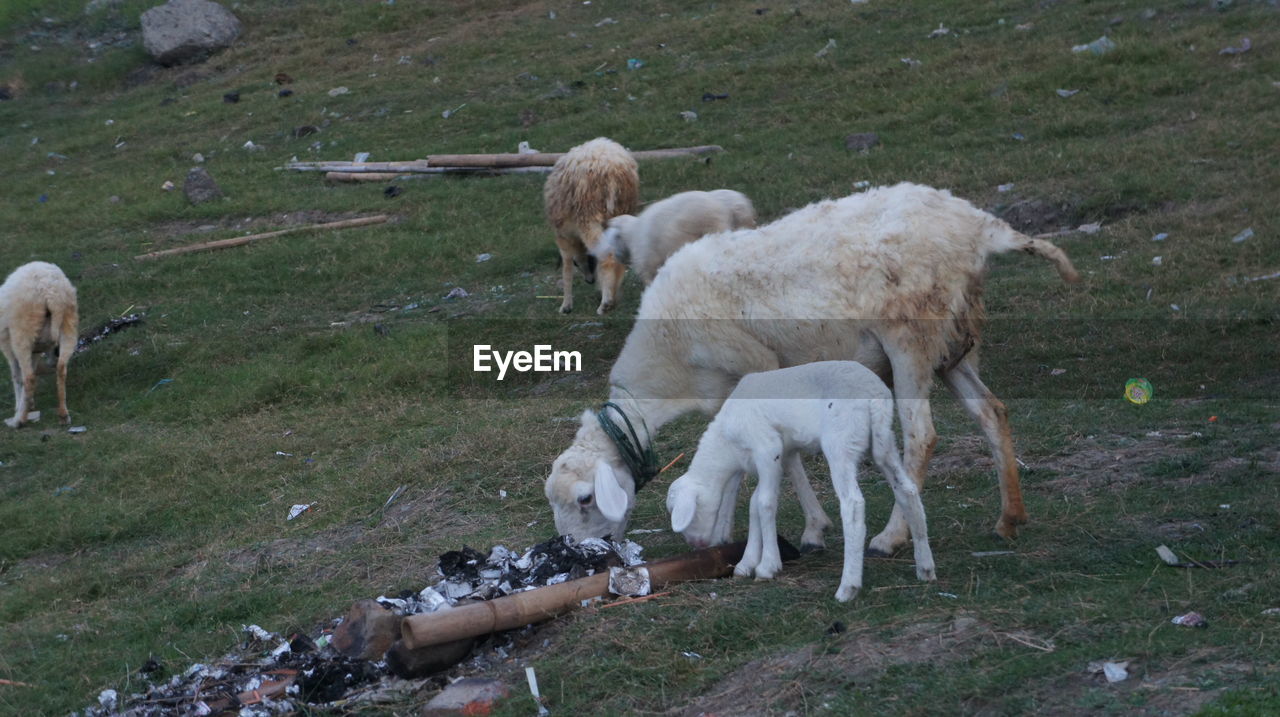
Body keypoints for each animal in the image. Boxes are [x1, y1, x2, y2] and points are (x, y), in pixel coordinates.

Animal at [0, 265, 79, 427]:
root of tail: (51, 294)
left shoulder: (7, 345)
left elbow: (16, 376)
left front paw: (20, 406)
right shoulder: (36, 350)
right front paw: (28, 403)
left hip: (22, 333)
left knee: (29, 378)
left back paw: (18, 421)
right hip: (68, 324)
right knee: (61, 369)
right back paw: (63, 415)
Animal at [540, 136, 640, 313]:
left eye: (577, 263)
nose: (589, 281)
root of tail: (612, 168)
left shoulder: (563, 236)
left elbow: (566, 268)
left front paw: (566, 305)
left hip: (588, 217)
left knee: (607, 255)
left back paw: (604, 304)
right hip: (622, 209)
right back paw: (611, 298)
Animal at [665, 361, 936, 601]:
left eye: (688, 515)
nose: (694, 545)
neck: (727, 445)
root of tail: (874, 397)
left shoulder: (767, 448)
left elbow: (764, 504)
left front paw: (767, 566)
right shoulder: (777, 456)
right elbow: (754, 504)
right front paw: (747, 563)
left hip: (841, 442)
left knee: (853, 505)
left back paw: (848, 587)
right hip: (883, 442)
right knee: (908, 491)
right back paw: (925, 567)